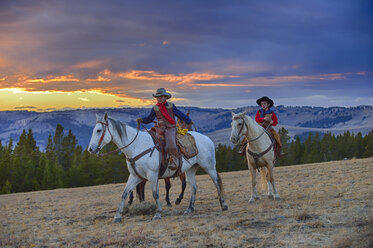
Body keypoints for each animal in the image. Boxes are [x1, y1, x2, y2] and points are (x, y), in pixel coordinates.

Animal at [88, 113, 227, 222]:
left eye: (99, 130)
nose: (91, 149)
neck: (137, 146)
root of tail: (208, 138)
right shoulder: (136, 176)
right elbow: (125, 193)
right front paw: (117, 216)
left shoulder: (152, 175)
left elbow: (155, 194)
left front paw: (158, 213)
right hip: (191, 170)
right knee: (194, 187)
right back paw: (189, 209)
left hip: (209, 166)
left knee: (217, 181)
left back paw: (223, 205)